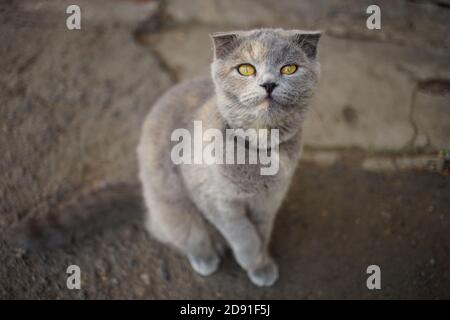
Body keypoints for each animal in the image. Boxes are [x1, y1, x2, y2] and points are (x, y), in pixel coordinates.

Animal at [137, 28, 320, 288]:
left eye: (289, 68)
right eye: (246, 69)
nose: (269, 84)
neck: (259, 150)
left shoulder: (269, 201)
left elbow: (261, 233)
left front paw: (262, 265)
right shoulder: (214, 199)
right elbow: (244, 236)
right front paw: (256, 264)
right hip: (171, 205)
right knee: (187, 234)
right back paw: (206, 259)